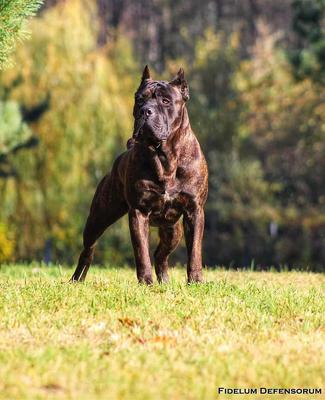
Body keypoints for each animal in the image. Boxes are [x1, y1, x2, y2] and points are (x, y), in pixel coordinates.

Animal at [70, 66, 208, 284]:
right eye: (139, 99)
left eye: (165, 101)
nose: (145, 111)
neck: (165, 157)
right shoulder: (139, 212)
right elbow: (141, 252)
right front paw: (146, 283)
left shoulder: (194, 211)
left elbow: (194, 251)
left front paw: (195, 281)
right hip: (99, 217)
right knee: (88, 249)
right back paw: (76, 279)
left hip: (173, 230)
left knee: (161, 254)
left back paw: (165, 281)